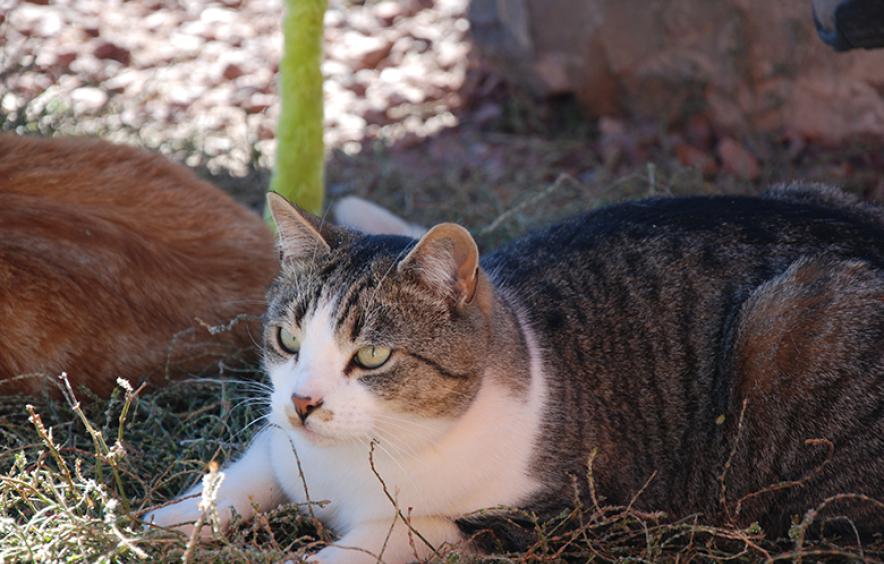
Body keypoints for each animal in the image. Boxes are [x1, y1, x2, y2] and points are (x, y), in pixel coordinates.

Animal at [147, 186, 884, 564]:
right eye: (289, 339)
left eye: (373, 357)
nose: (302, 402)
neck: (354, 462)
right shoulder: (279, 445)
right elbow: (243, 474)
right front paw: (169, 519)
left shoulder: (549, 515)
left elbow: (383, 538)